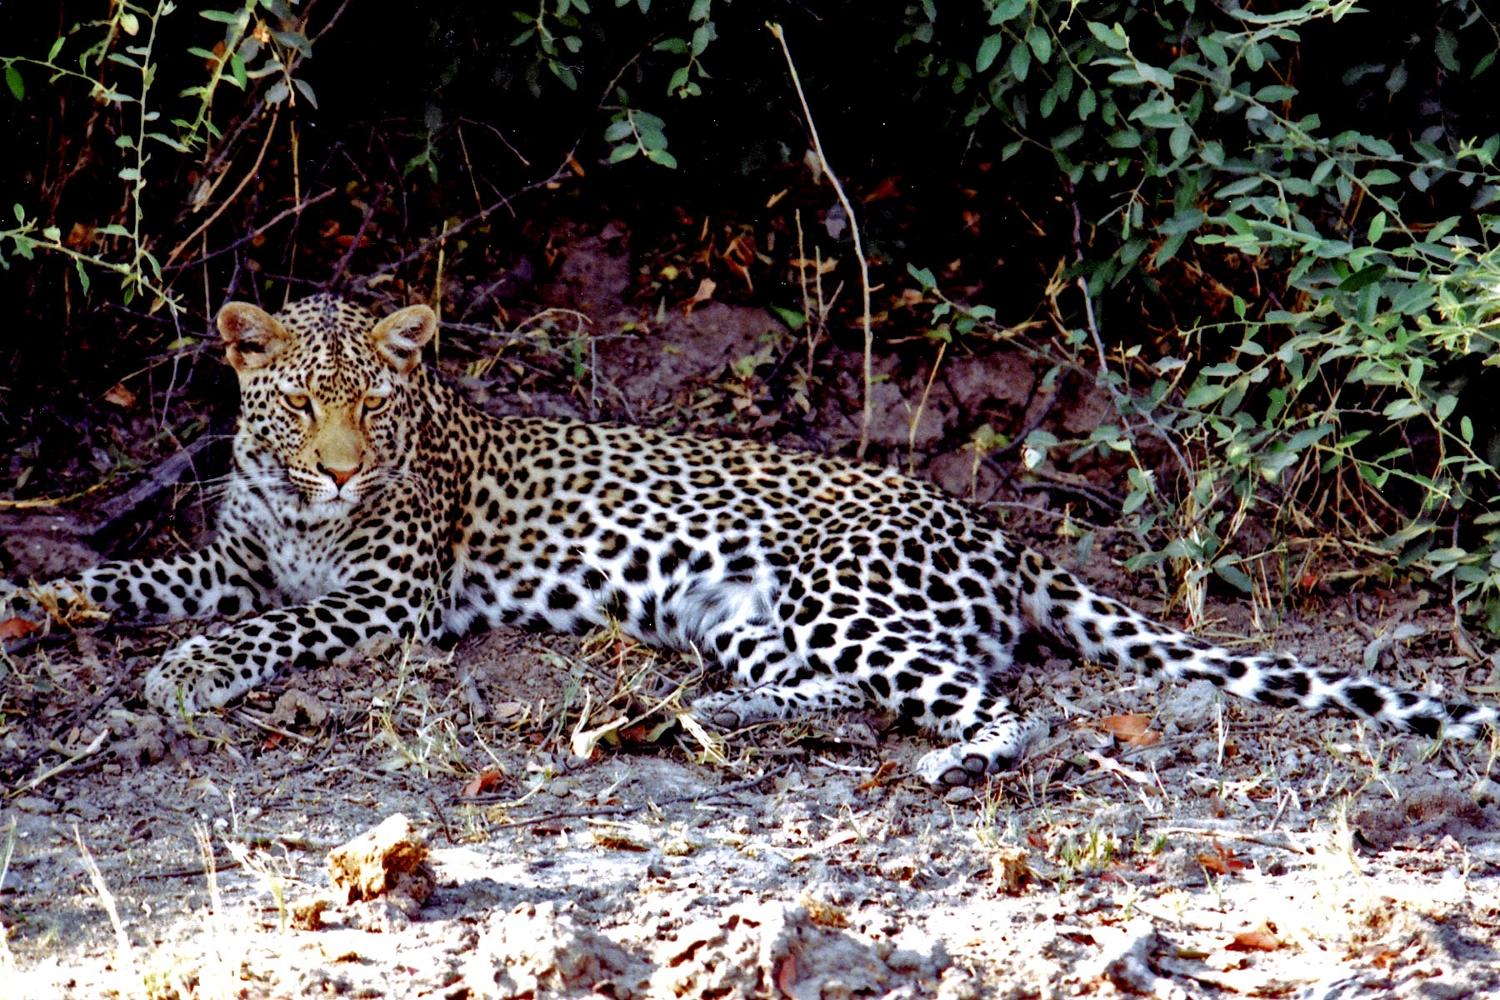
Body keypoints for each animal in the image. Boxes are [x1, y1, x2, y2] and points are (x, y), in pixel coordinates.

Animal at [2, 294, 1496, 786]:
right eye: (301, 404)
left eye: (374, 406)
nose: (337, 466)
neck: (294, 505)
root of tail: (988, 528)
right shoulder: (230, 554)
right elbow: (146, 575)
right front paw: (45, 597)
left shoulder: (381, 606)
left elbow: (264, 625)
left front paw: (184, 674)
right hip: (745, 614)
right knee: (833, 685)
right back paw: (701, 714)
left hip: (849, 597)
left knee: (994, 701)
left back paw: (953, 764)